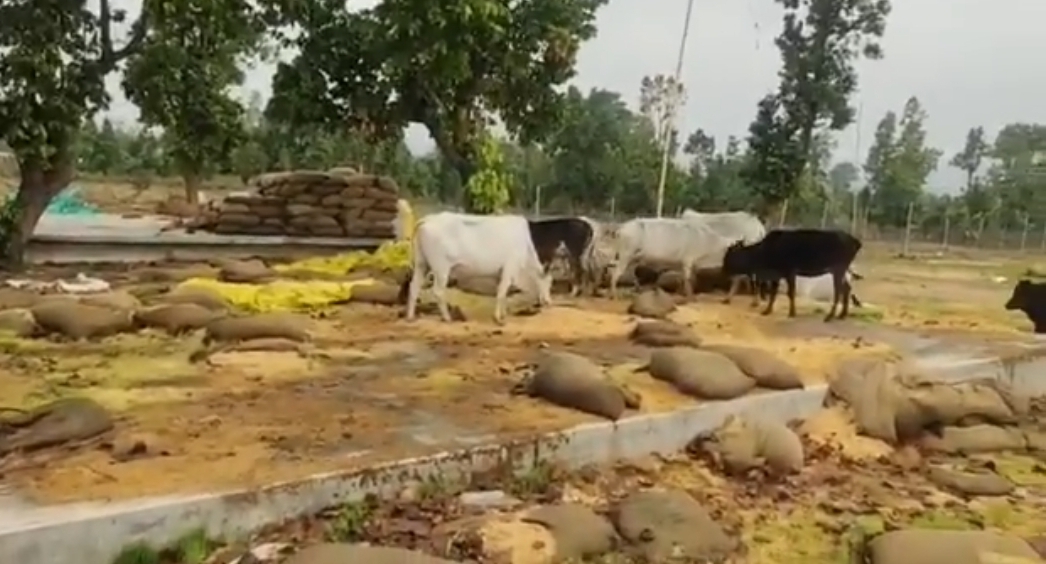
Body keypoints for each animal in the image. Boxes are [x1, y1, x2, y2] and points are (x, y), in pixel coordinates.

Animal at [401, 211, 556, 324]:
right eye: (547, 282)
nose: (549, 302)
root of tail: (427, 219)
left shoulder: (501, 274)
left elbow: (503, 294)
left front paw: (503, 314)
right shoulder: (509, 268)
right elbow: (501, 292)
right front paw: (498, 318)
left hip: (422, 264)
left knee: (413, 287)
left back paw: (410, 317)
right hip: (441, 268)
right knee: (438, 292)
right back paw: (447, 318)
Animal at [723, 227, 861, 320]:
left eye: (729, 256)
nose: (724, 269)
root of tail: (856, 242)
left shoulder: (789, 271)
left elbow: (790, 293)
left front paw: (792, 313)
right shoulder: (778, 275)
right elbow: (774, 293)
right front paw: (767, 311)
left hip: (838, 269)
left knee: (838, 291)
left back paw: (830, 316)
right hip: (841, 271)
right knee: (847, 289)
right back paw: (842, 315)